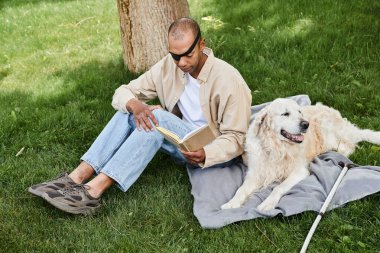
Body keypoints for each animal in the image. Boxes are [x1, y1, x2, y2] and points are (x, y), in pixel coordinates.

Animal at [221, 98, 380, 211]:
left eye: (299, 112)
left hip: (329, 134)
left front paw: (267, 204)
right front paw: (231, 203)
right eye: (285, 114)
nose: (306, 124)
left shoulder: (299, 171)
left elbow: (279, 187)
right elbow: (241, 189)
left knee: (348, 144)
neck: (277, 148)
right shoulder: (256, 173)